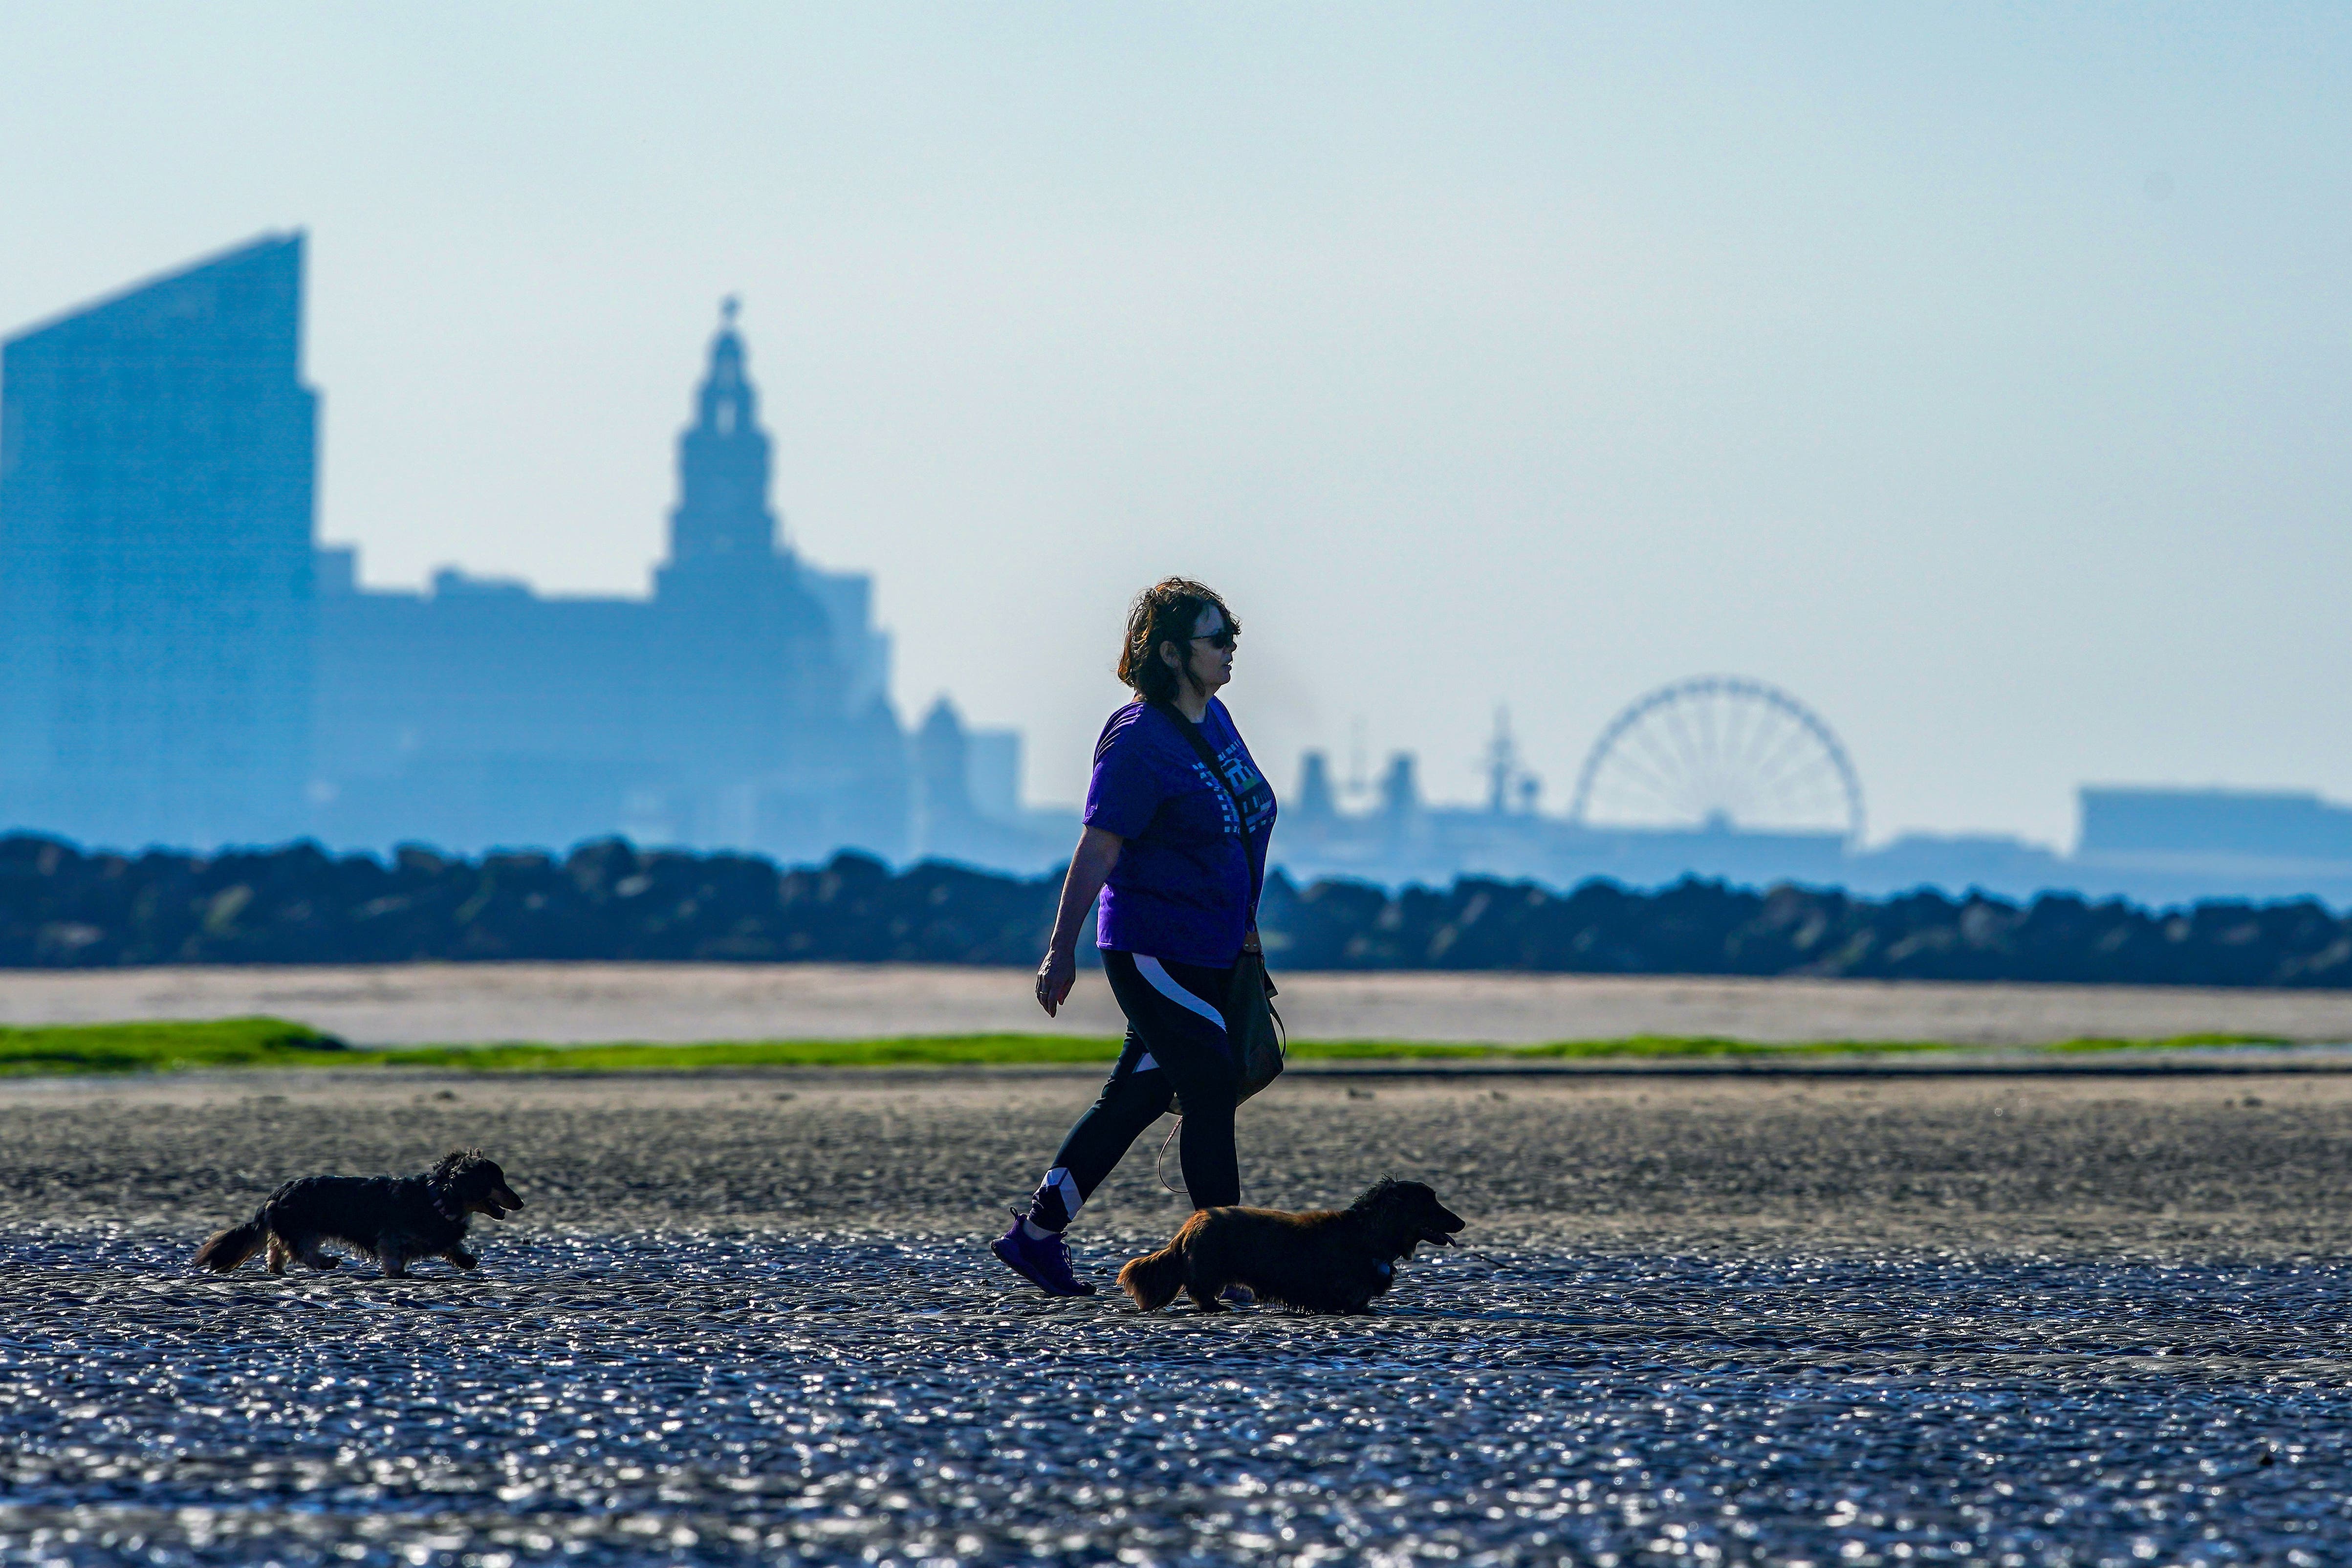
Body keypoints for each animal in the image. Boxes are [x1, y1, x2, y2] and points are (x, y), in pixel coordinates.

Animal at [192, 1147, 524, 1279]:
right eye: (498, 1182)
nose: (521, 1203)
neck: (438, 1198)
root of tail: (279, 1192)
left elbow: (452, 1247)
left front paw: (467, 1260)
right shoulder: (392, 1237)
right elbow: (394, 1256)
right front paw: (399, 1273)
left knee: (277, 1249)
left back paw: (278, 1270)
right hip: (305, 1228)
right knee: (300, 1251)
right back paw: (326, 1262)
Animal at [1110, 1175, 1458, 1316]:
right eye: (1430, 1202)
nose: (1463, 1223)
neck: (1367, 1233)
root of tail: (1189, 1226)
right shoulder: (1350, 1298)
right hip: (1211, 1271)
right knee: (1201, 1294)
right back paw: (1218, 1308)